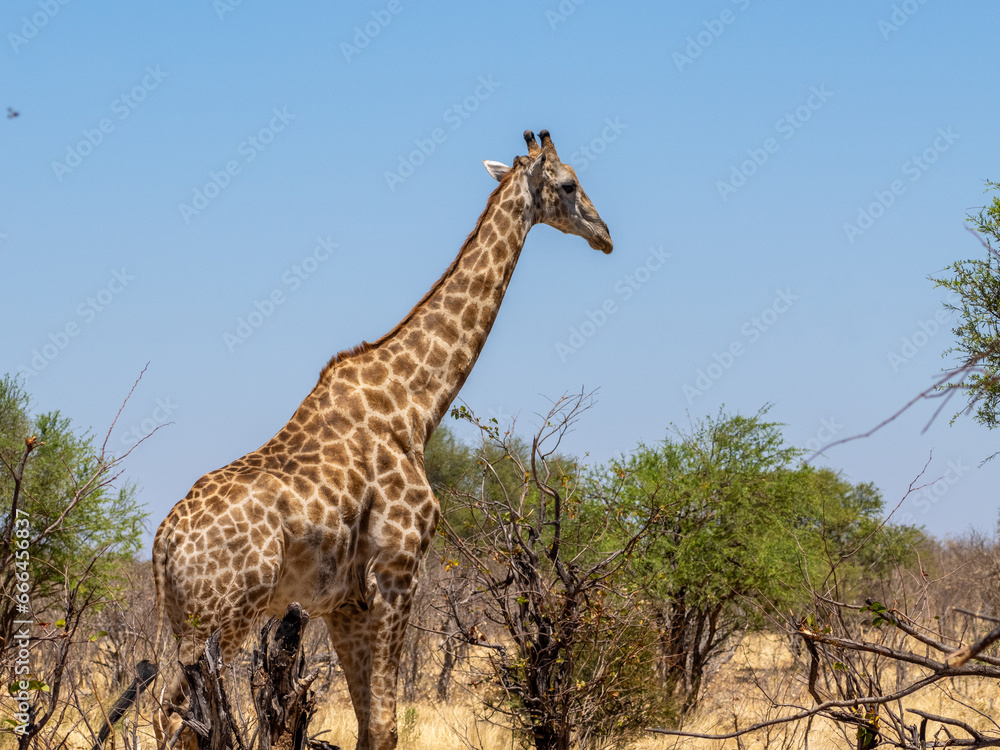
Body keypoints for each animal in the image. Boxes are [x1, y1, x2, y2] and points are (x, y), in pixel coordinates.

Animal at [151, 129, 612, 750]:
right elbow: (388, 727)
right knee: (180, 718)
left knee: (170, 714)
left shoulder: (343, 602)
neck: (414, 406)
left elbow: (372, 725)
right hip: (223, 619)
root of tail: (162, 544)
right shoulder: (396, 571)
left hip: (187, 620)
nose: (605, 235)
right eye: (567, 184)